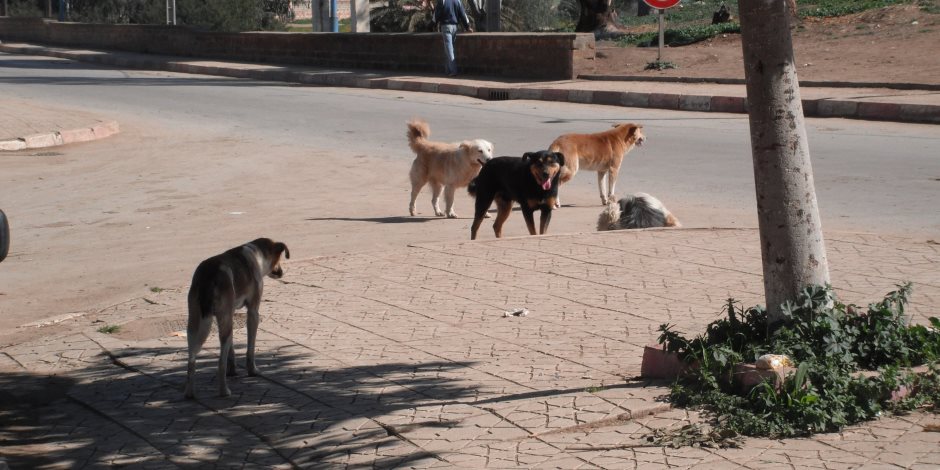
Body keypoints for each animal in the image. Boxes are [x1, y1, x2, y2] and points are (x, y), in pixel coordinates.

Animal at [182, 237, 288, 398]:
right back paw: (224, 391)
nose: (281, 272)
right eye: (279, 258)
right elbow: (250, 348)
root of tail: (209, 274)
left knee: (191, 359)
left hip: (194, 323)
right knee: (220, 362)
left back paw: (190, 393)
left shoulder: (229, 315)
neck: (257, 254)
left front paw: (232, 370)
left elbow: (231, 350)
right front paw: (252, 370)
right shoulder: (253, 313)